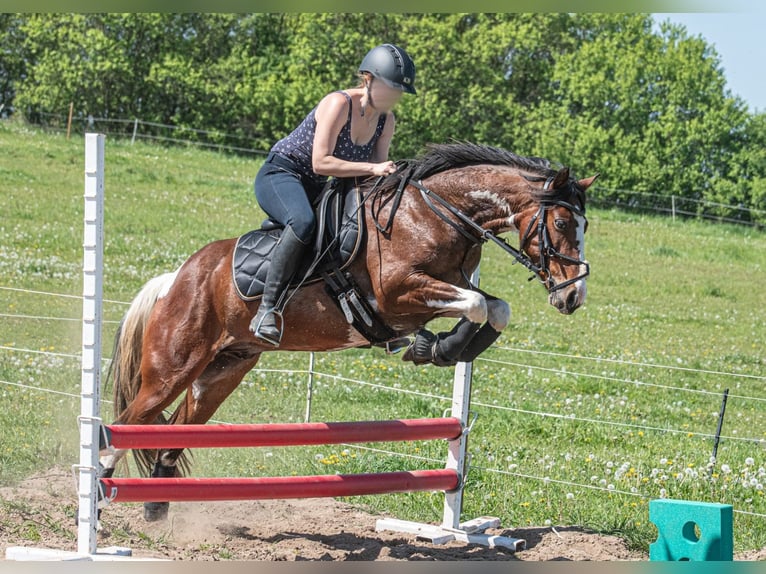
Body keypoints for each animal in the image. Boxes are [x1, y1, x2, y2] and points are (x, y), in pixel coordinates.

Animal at [99, 143, 600, 520]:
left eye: (585, 225)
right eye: (561, 223)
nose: (573, 297)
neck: (437, 214)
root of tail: (176, 278)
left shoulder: (447, 289)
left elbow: (495, 309)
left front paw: (436, 348)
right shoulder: (397, 292)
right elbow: (478, 304)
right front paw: (433, 346)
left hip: (221, 372)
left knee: (174, 428)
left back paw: (157, 506)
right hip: (171, 370)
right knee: (123, 426)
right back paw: (100, 498)